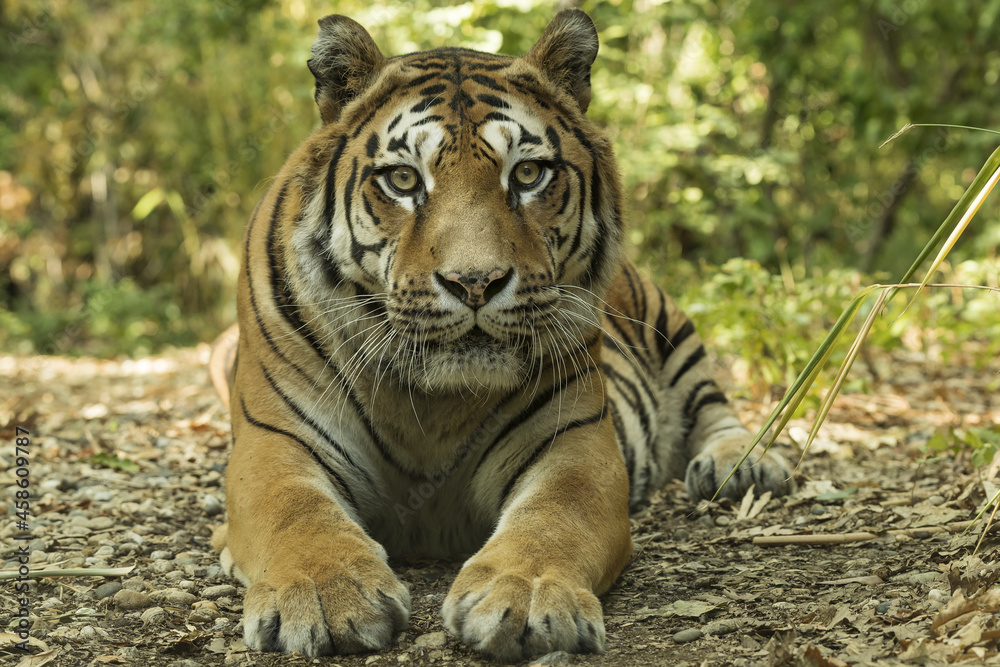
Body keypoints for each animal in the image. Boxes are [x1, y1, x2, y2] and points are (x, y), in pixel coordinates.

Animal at [207, 9, 792, 662]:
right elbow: (296, 512)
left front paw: (526, 596)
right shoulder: (273, 444)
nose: (475, 282)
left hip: (673, 328)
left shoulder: (575, 445)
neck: (431, 406)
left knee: (714, 406)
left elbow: (553, 519)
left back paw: (739, 465)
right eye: (403, 179)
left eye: (529, 173)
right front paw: (325, 595)